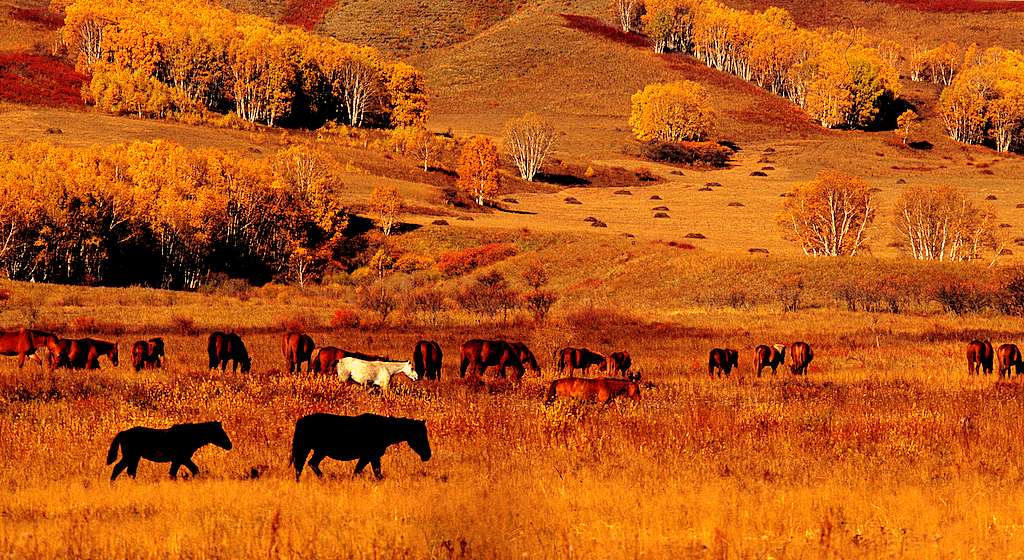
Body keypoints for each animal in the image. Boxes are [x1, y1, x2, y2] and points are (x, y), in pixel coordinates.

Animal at [106, 421, 234, 481]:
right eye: (219, 432)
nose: (229, 445)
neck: (190, 436)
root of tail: (123, 433)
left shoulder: (181, 460)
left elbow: (190, 470)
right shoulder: (181, 459)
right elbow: (177, 473)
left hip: (134, 457)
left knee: (128, 471)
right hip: (131, 456)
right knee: (121, 469)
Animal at [290, 411, 430, 481]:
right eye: (420, 435)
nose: (428, 455)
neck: (383, 429)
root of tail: (301, 421)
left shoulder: (371, 457)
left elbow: (369, 473)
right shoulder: (369, 456)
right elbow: (366, 473)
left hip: (316, 451)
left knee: (307, 465)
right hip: (311, 450)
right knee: (302, 466)